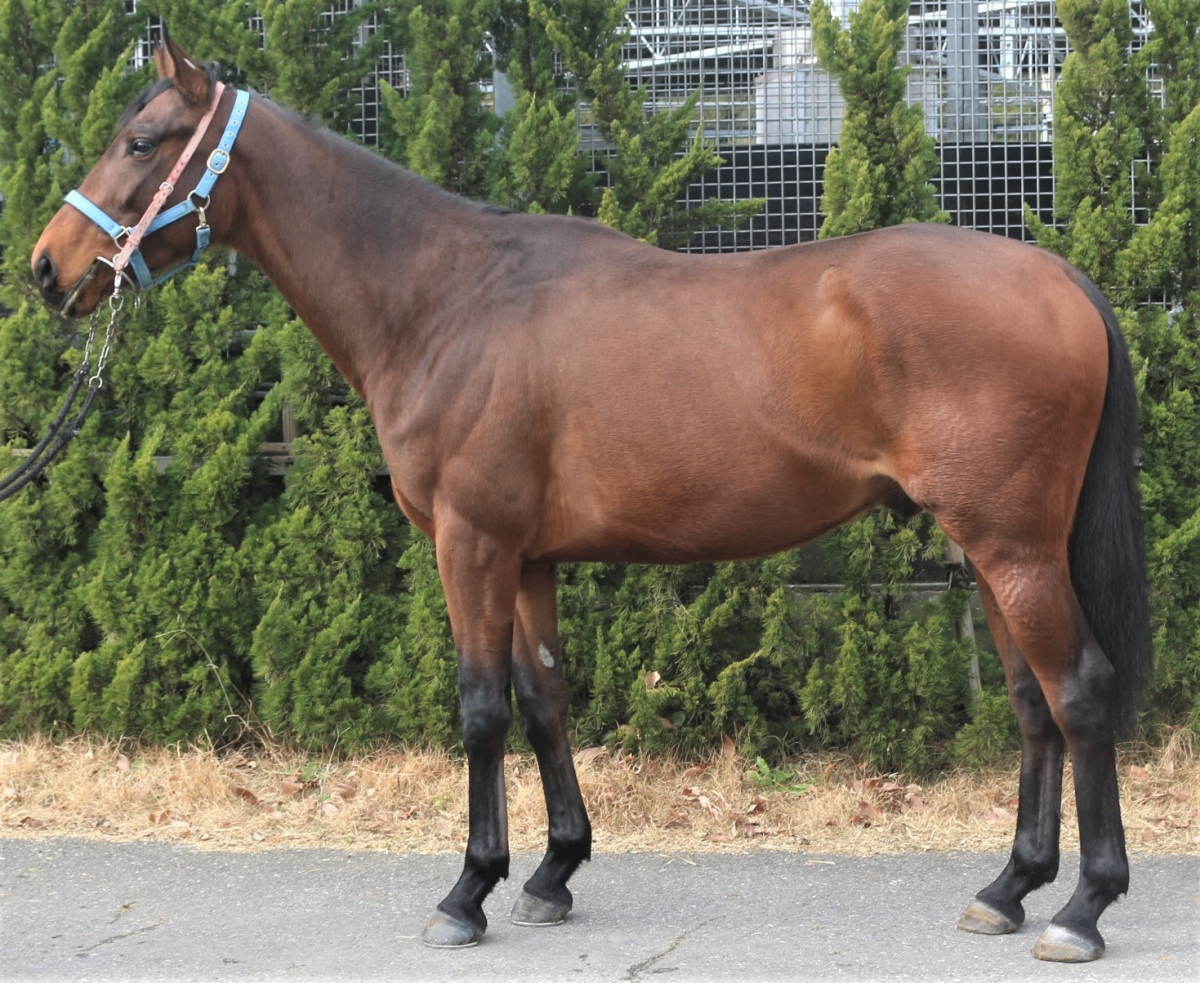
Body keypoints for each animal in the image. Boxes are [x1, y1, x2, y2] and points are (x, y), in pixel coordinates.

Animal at [31, 30, 1149, 963]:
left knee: (1080, 690)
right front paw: (553, 871)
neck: (446, 299)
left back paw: (1083, 908)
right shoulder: (527, 558)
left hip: (1014, 547)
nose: (48, 266)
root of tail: (1058, 276)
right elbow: (545, 701)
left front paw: (468, 890)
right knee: (1032, 705)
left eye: (141, 141)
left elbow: (482, 707)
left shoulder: (471, 545)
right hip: (990, 550)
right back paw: (1008, 888)